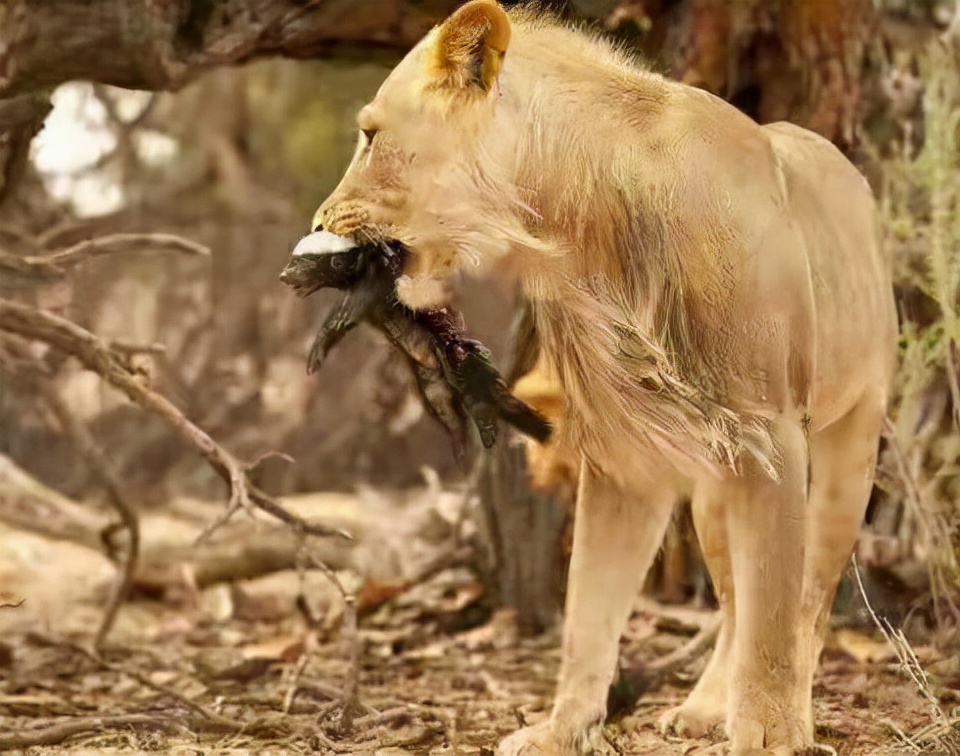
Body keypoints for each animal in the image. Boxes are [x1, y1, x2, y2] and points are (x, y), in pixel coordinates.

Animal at [307, 1, 898, 753]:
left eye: (370, 134)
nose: (319, 220)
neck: (578, 233)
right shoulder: (627, 453)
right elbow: (590, 607)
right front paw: (561, 730)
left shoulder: (772, 432)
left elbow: (775, 605)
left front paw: (769, 732)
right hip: (716, 488)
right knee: (737, 603)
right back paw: (705, 708)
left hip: (848, 442)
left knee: (807, 598)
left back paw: (786, 706)